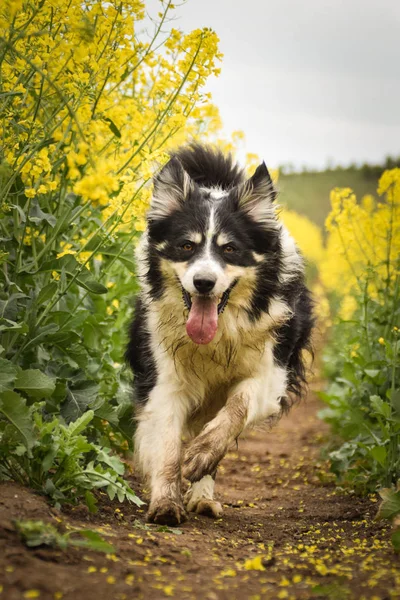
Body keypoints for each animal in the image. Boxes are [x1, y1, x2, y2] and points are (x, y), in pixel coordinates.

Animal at [126, 142, 314, 524]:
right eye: (186, 245)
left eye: (230, 249)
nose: (203, 282)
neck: (219, 333)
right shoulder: (163, 377)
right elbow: (167, 444)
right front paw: (166, 503)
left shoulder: (272, 372)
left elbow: (238, 407)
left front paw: (201, 455)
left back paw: (203, 494)